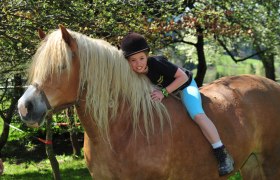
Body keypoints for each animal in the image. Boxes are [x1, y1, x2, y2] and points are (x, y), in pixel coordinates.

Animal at [17, 25, 280, 179]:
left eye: (61, 66)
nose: (24, 107)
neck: (125, 127)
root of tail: (271, 85)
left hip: (270, 163)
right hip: (251, 165)